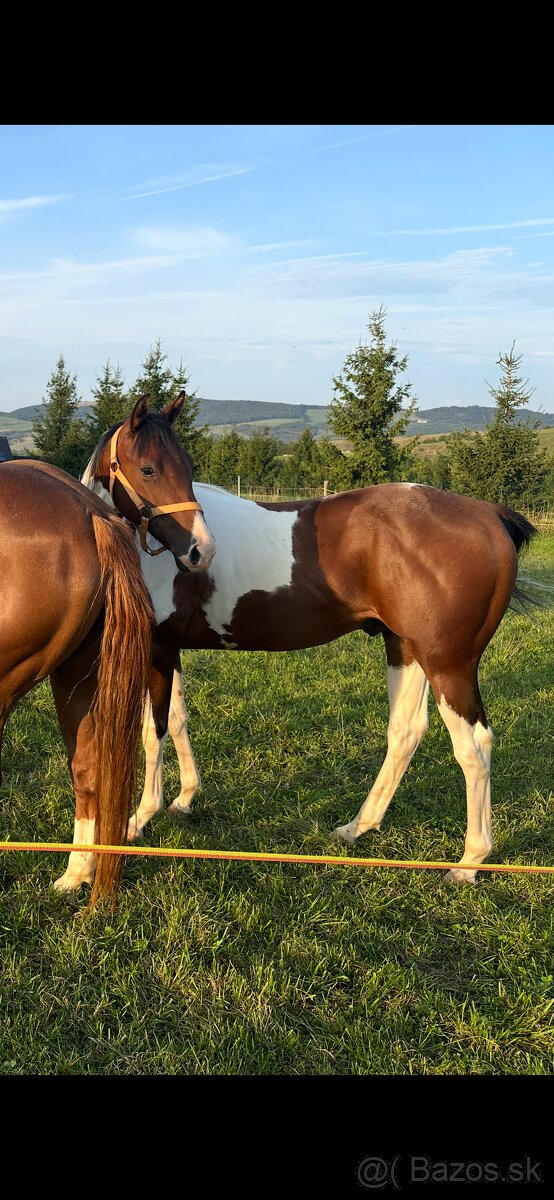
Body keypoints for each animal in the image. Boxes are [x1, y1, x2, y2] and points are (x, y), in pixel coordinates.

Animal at [1, 393, 215, 905]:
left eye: (189, 466)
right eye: (149, 469)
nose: (202, 548)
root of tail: (89, 517)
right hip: (74, 677)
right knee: (89, 768)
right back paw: (78, 871)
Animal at [82, 440, 537, 884]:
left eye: (173, 468)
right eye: (148, 468)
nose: (198, 551)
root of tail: (489, 515)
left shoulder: (157, 648)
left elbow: (152, 730)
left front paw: (139, 818)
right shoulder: (171, 649)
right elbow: (177, 719)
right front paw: (185, 799)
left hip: (448, 666)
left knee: (473, 747)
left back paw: (469, 862)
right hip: (407, 650)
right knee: (406, 732)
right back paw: (357, 828)